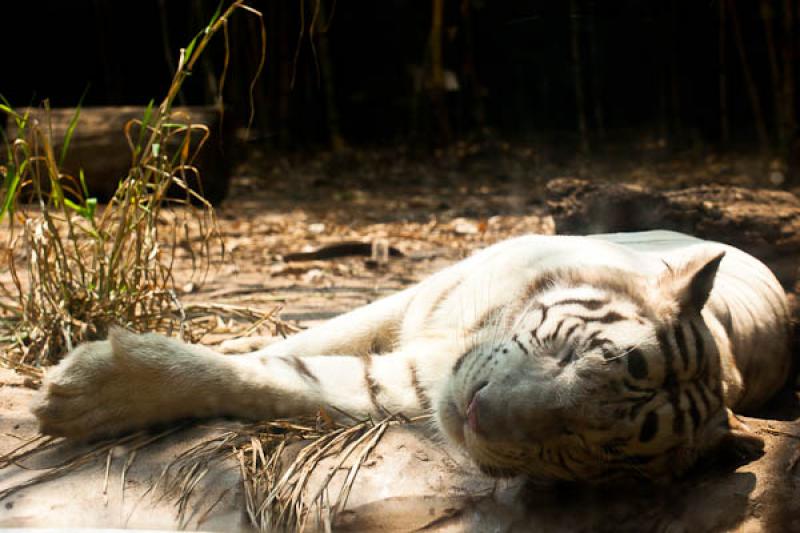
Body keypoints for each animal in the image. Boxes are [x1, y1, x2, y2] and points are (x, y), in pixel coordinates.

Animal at [32, 231, 792, 480]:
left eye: (591, 450)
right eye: (572, 352)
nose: (481, 414)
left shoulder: (395, 383)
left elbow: (278, 376)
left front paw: (88, 392)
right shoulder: (415, 297)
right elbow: (309, 339)